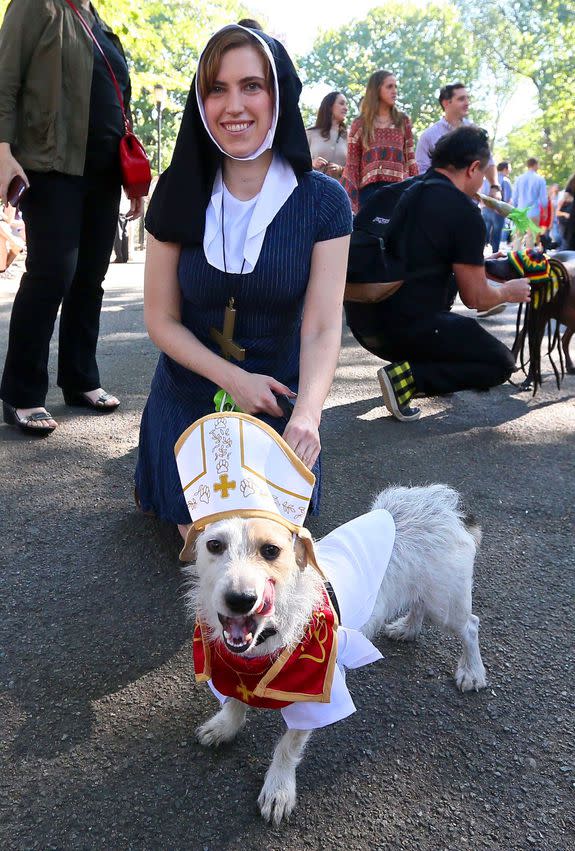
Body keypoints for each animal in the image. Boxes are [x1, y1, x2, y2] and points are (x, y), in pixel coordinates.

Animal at [182, 486, 488, 824]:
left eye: (271, 550)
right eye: (214, 545)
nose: (240, 599)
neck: (267, 636)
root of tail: (443, 501)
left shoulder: (315, 694)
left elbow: (288, 745)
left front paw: (278, 789)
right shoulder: (231, 671)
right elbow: (235, 703)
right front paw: (224, 727)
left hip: (445, 603)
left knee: (470, 626)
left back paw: (472, 671)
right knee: (417, 604)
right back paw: (408, 628)